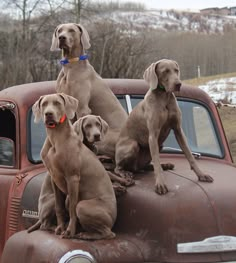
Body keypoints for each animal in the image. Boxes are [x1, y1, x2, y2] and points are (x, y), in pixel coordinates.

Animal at [31, 94, 116, 240]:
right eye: (44, 104)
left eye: (57, 103)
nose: (48, 114)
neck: (55, 139)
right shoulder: (54, 178)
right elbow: (59, 207)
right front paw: (60, 228)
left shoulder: (72, 178)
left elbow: (71, 209)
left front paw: (69, 231)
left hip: (83, 205)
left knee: (109, 233)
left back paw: (84, 235)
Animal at [49, 22, 127, 158]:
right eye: (59, 30)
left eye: (71, 30)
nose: (61, 38)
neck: (70, 66)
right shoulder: (69, 108)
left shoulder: (83, 108)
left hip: (104, 137)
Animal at [114, 59, 214, 196]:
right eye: (165, 71)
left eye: (176, 70)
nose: (178, 84)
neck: (164, 96)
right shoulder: (153, 135)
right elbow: (156, 160)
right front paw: (160, 184)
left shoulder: (178, 130)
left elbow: (189, 155)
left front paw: (201, 175)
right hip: (132, 145)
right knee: (118, 167)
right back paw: (125, 173)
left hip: (159, 146)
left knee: (143, 167)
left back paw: (165, 165)